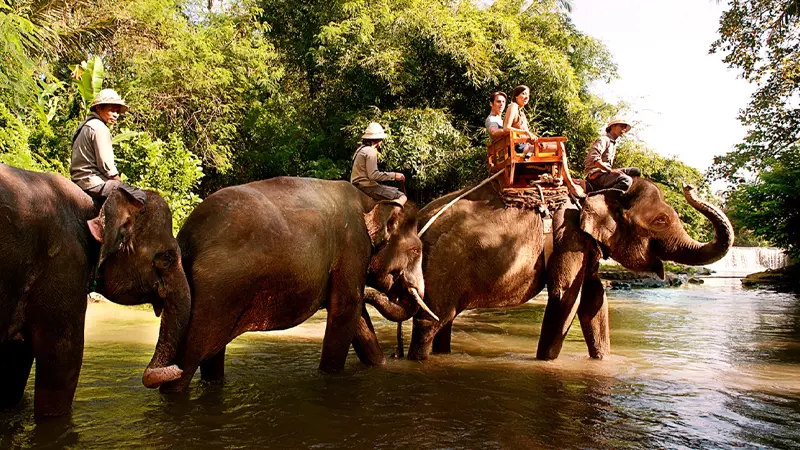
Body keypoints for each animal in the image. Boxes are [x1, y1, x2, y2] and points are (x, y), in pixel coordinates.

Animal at [0, 164, 191, 417]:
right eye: (167, 257)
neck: (93, 207)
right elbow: (63, 359)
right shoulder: (65, 264)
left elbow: (15, 362)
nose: (177, 369)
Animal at [151, 177, 430, 392]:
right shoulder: (353, 247)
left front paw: (380, 367)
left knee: (211, 353)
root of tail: (187, 238)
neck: (369, 202)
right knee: (190, 355)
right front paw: (330, 377)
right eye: (416, 250)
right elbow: (347, 309)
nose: (397, 354)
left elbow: (358, 316)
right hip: (215, 293)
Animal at [377, 176, 733, 361]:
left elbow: (594, 299)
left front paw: (603, 361)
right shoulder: (568, 237)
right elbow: (565, 298)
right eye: (660, 220)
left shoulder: (584, 244)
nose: (690, 187)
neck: (592, 193)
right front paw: (546, 363)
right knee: (430, 321)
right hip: (439, 267)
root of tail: (418, 223)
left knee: (444, 319)